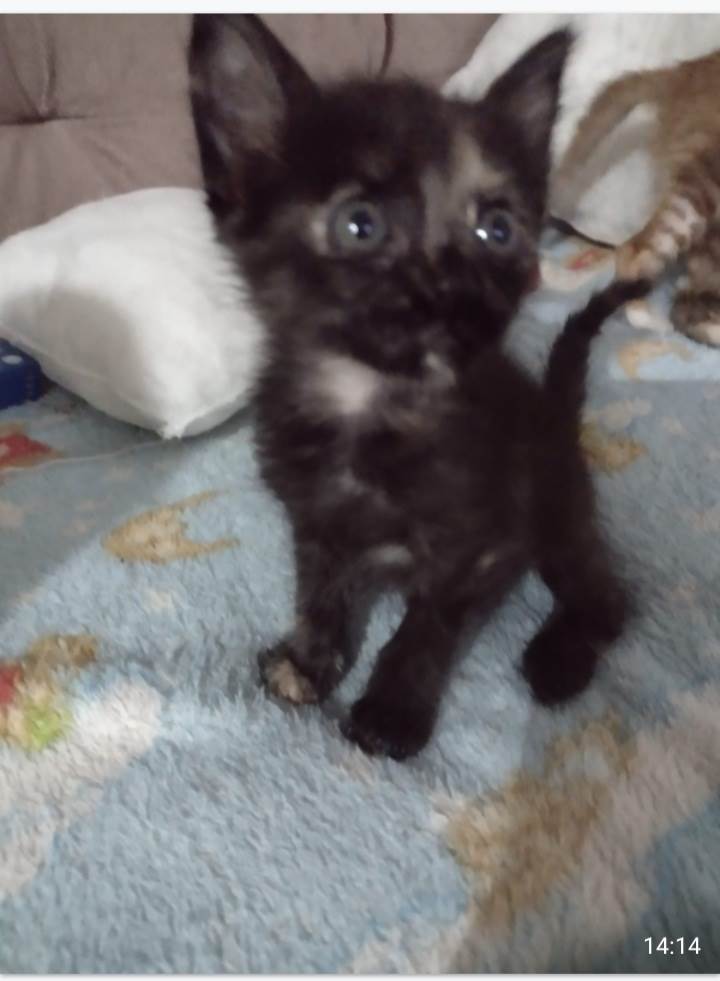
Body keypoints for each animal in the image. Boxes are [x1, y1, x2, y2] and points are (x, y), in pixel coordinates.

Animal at [190, 14, 647, 759]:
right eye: (361, 225)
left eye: (497, 229)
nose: (453, 291)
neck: (371, 406)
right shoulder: (315, 523)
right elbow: (318, 597)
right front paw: (310, 664)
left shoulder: (471, 545)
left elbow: (424, 630)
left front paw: (392, 712)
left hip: (556, 507)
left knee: (606, 596)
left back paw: (560, 660)